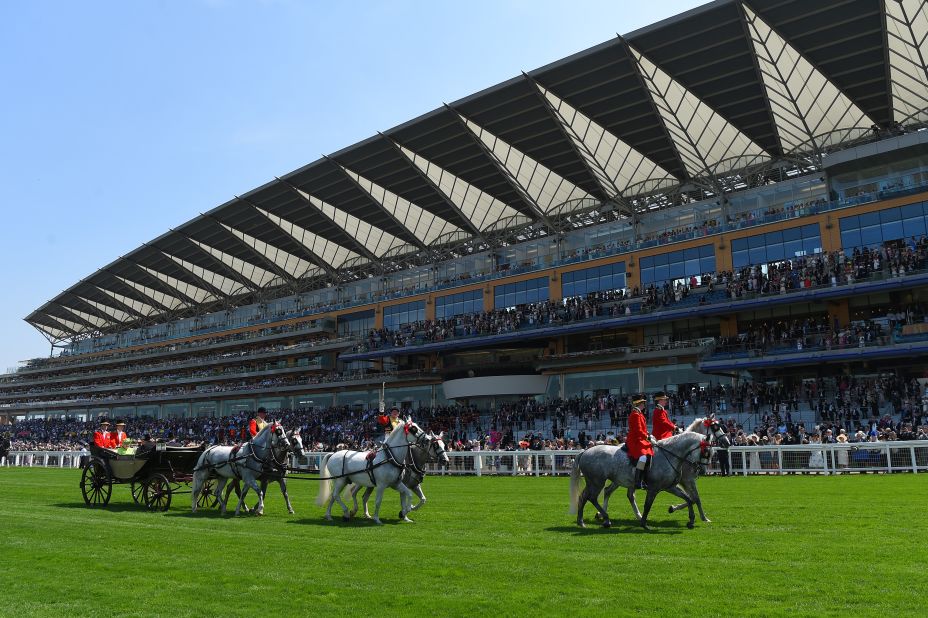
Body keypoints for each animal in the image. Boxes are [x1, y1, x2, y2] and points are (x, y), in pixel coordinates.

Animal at [568, 416, 728, 528]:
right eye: (715, 427)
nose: (727, 442)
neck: (673, 454)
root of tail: (585, 451)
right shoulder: (683, 481)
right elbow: (695, 498)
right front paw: (702, 517)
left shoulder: (671, 486)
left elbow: (690, 498)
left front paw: (690, 516)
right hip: (597, 482)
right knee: (593, 496)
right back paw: (604, 517)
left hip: (610, 481)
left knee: (593, 495)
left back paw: (588, 519)